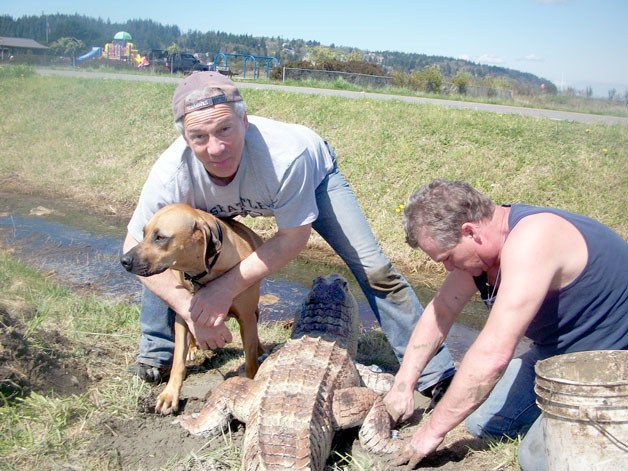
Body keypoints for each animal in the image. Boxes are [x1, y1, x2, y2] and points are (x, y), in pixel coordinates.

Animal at [121, 205, 264, 414]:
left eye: (160, 237)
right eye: (144, 232)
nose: (124, 260)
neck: (204, 273)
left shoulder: (246, 317)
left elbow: (251, 362)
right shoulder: (183, 314)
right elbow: (177, 362)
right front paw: (169, 395)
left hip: (253, 311)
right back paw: (191, 347)